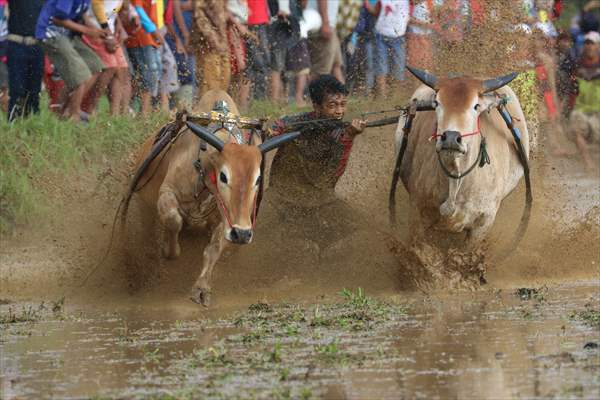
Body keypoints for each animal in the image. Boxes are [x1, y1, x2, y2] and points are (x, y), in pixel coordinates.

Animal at [127, 90, 298, 304]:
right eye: (224, 176)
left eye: (258, 179)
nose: (243, 234)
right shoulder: (167, 192)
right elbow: (173, 221)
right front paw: (169, 250)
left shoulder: (226, 221)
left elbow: (213, 249)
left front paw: (201, 288)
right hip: (144, 206)